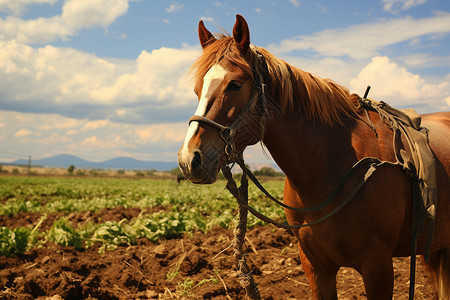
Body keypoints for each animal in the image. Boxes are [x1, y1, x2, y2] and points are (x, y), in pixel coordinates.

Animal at [178, 14, 448, 300]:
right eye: (197, 89)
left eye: (235, 85)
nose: (189, 159)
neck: (334, 166)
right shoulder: (314, 264)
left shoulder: (378, 266)